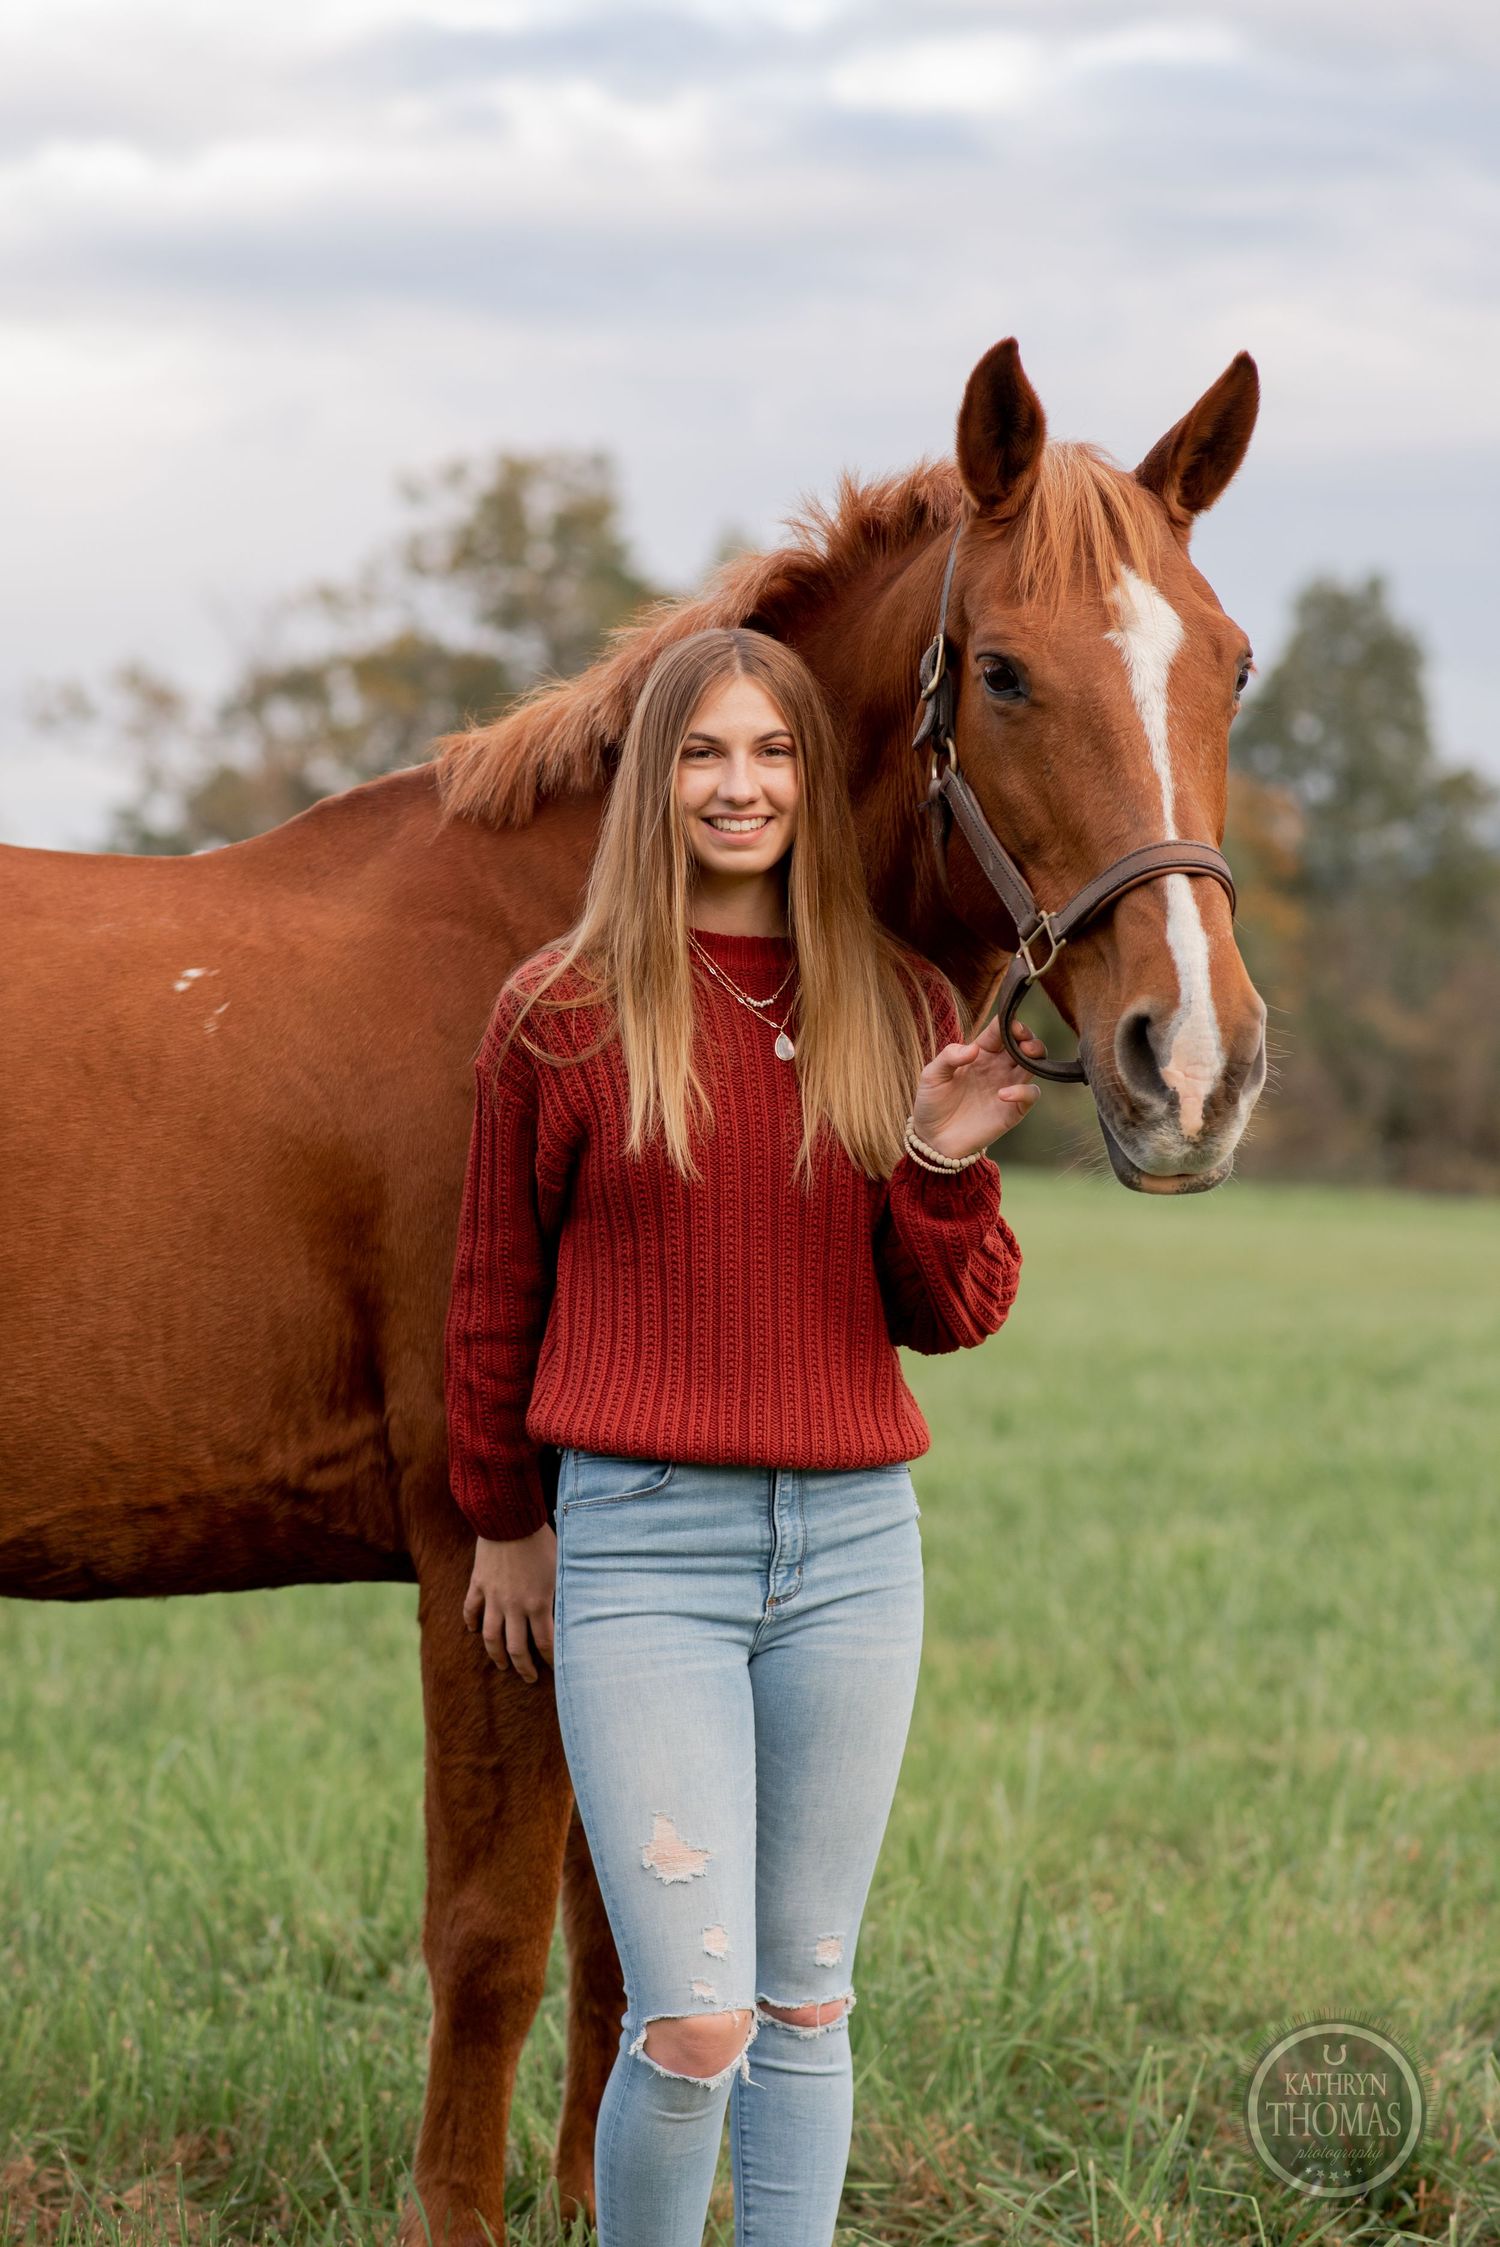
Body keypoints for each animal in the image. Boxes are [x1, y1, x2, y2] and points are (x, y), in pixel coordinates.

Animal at [0, 338, 1266, 2243]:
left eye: (1233, 663)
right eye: (1005, 670)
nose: (1191, 1065)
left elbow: (630, 1944)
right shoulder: (486, 1561)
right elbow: (494, 1944)